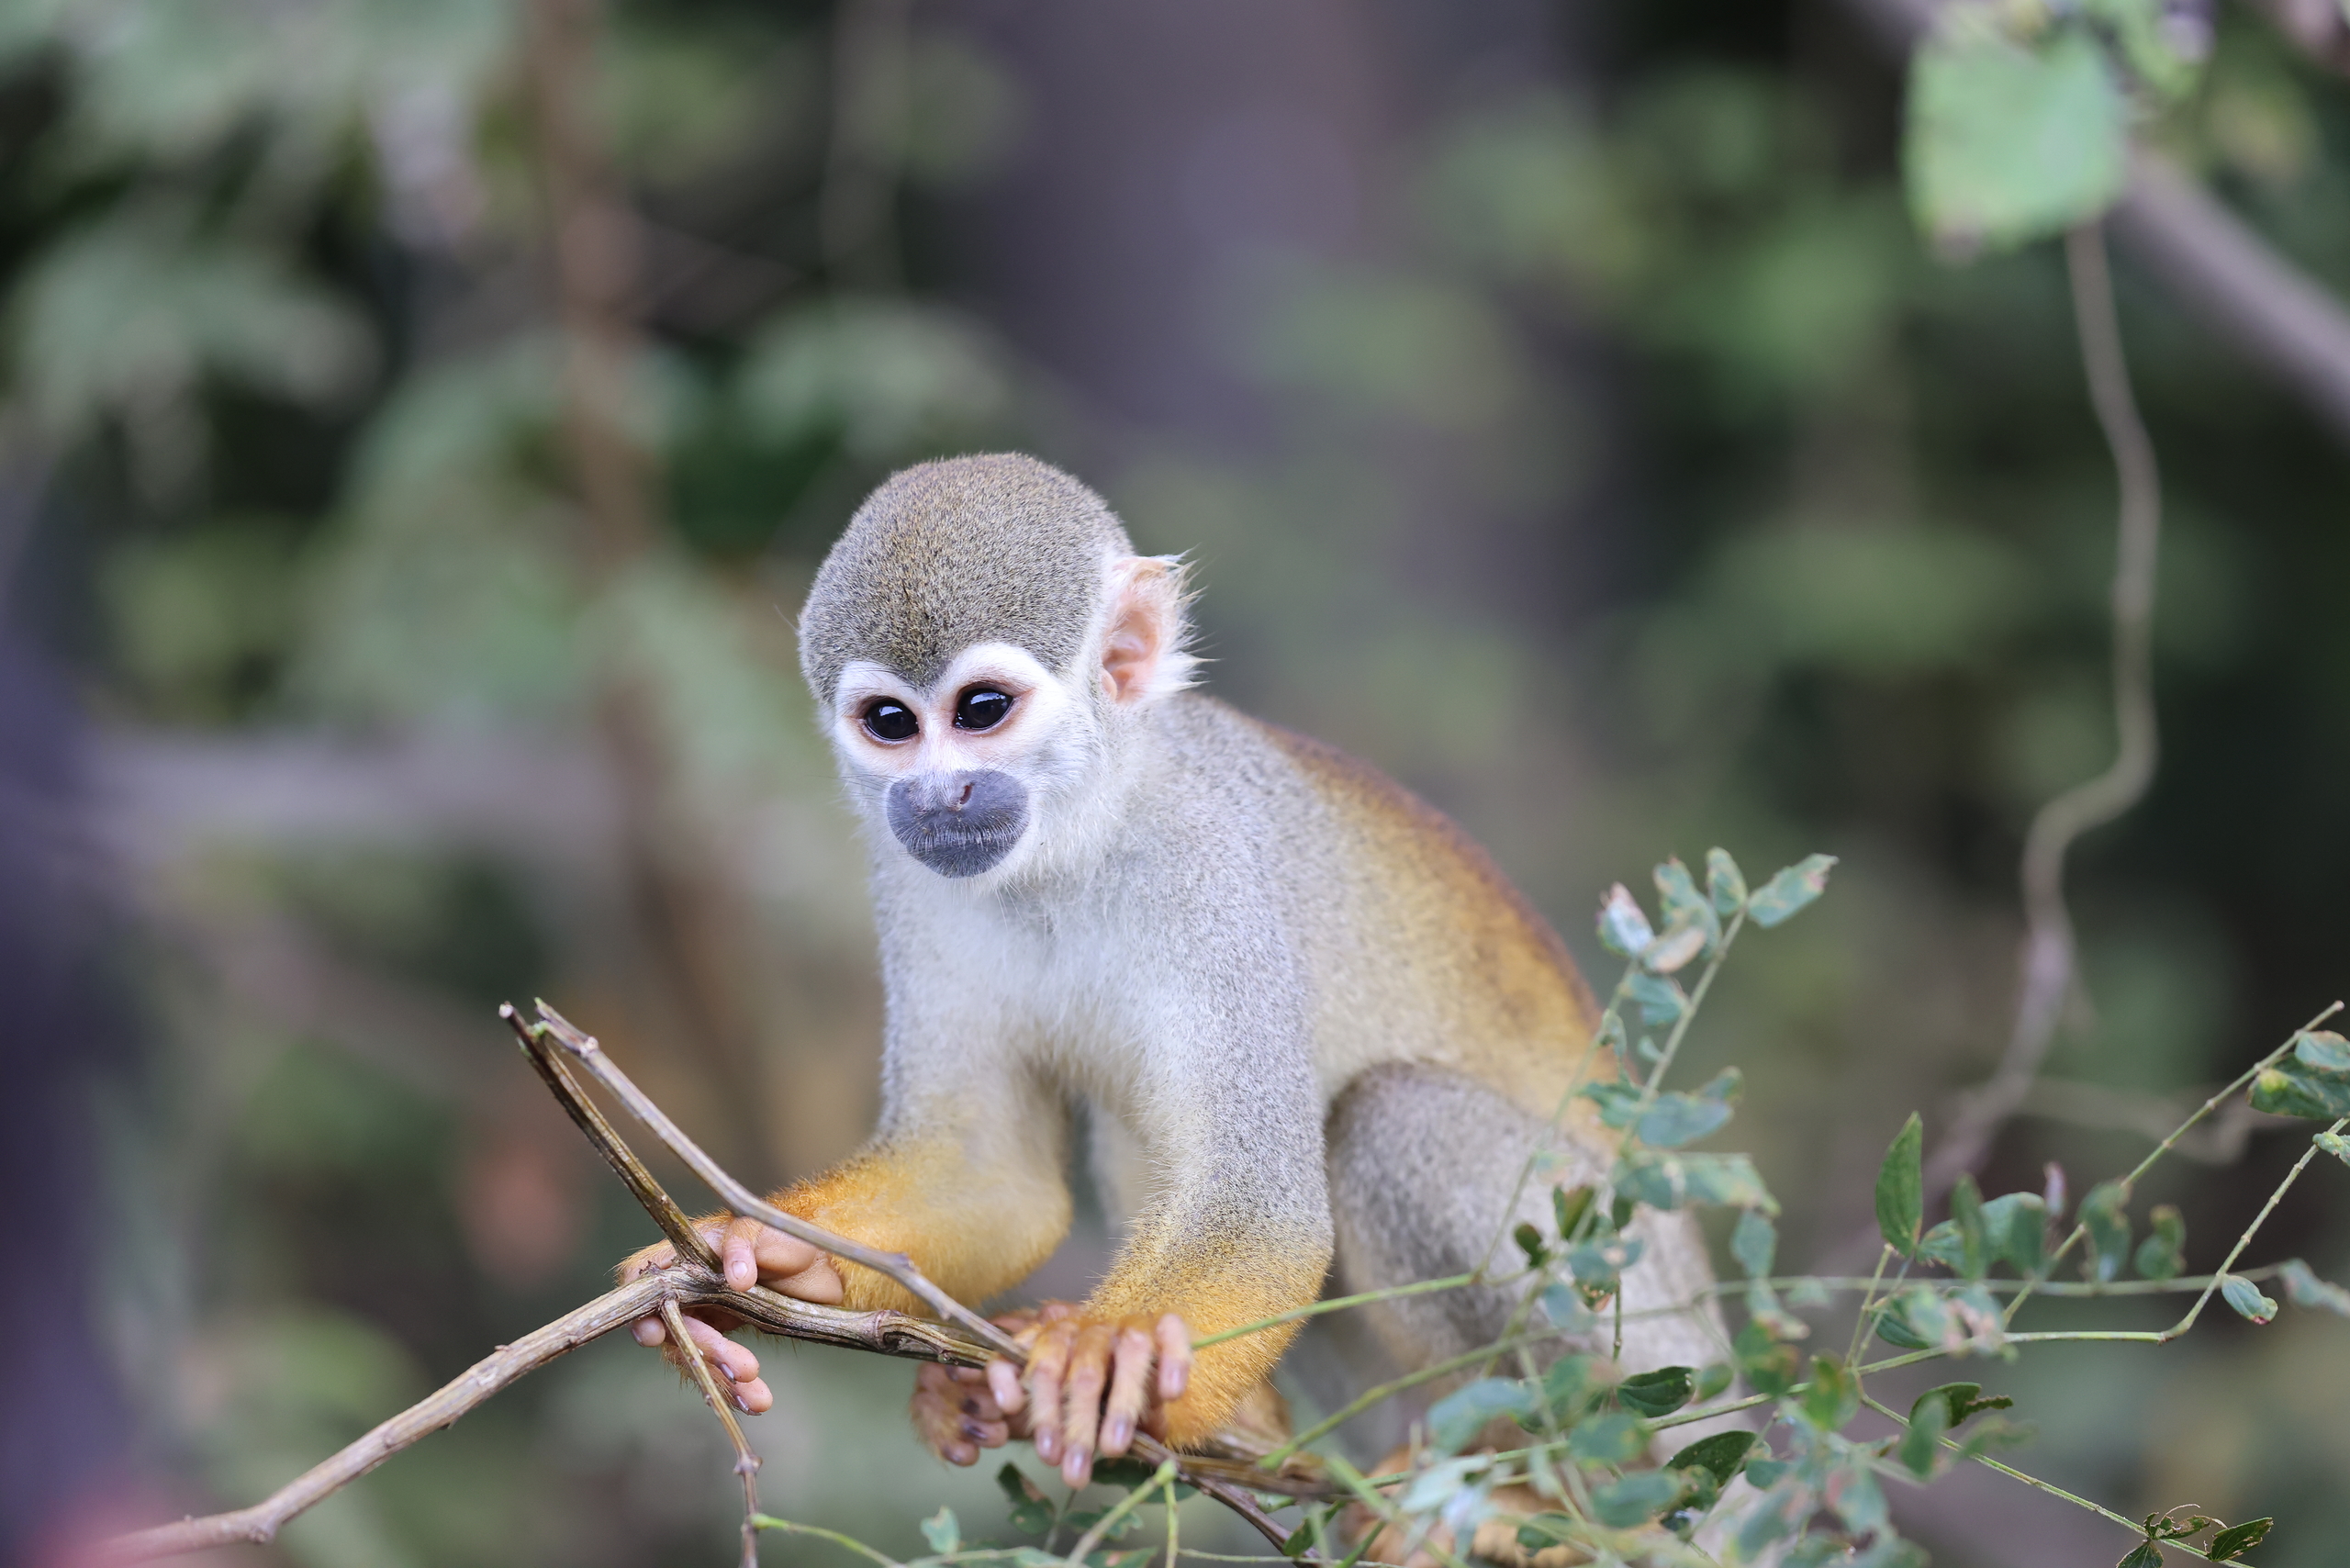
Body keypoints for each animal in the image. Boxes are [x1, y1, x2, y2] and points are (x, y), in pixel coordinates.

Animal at [621, 452, 1727, 1499]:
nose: (936, 796)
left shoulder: (1210, 862)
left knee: (1389, 1116)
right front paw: (773, 1255)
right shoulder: (907, 876)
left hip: (1642, 1318)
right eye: (891, 723)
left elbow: (1263, 1203)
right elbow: (990, 1171)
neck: (1078, 837)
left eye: (981, 710)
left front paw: (1108, 1352)